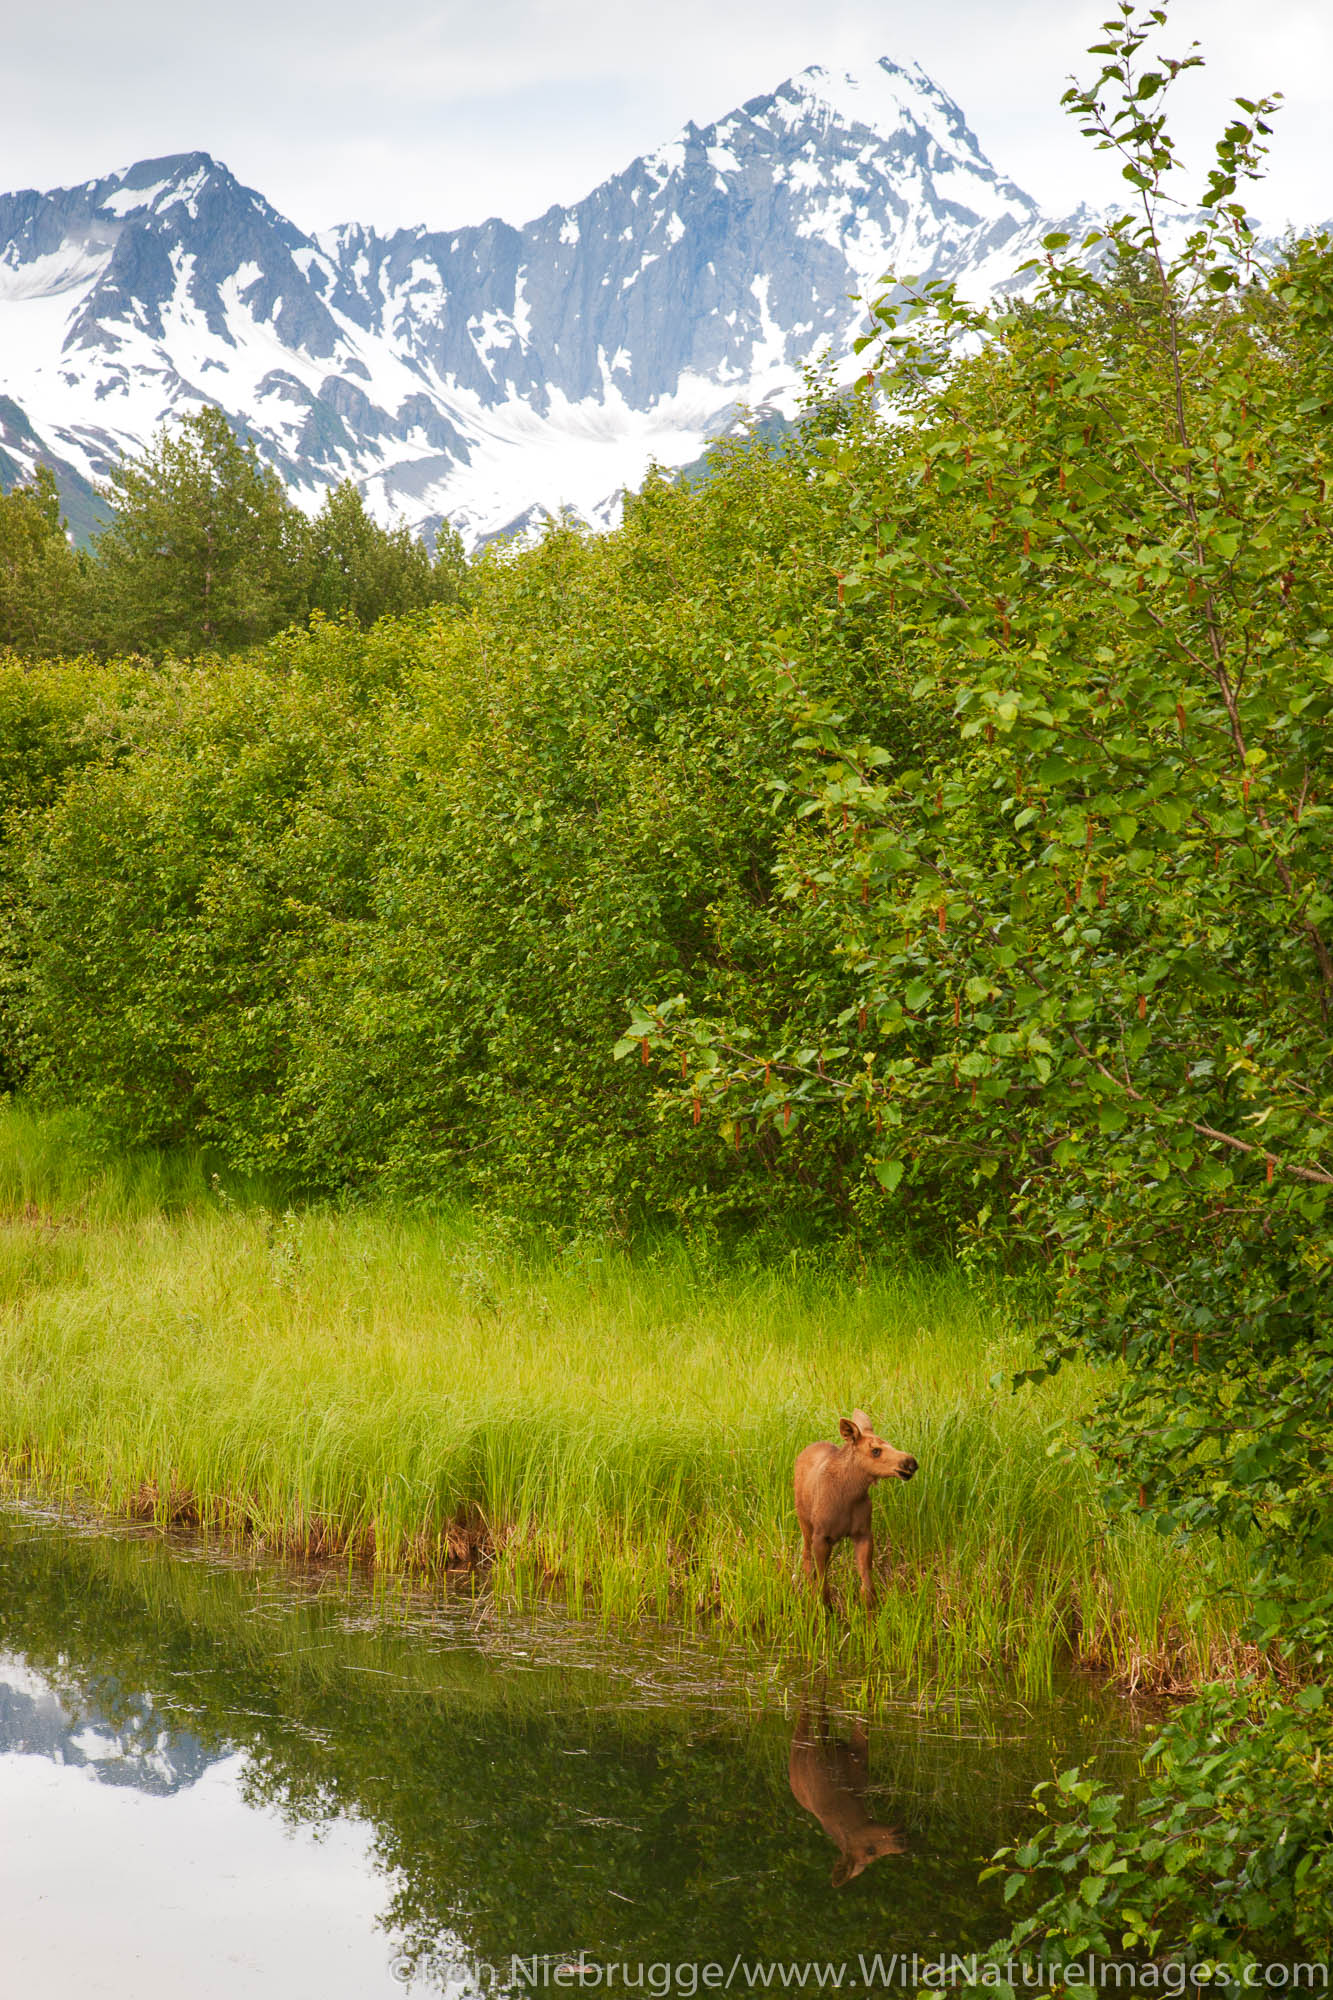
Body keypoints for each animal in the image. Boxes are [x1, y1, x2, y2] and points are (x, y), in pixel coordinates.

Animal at [788, 1408, 912, 1608]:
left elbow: (867, 1587)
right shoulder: (820, 1536)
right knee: (806, 1559)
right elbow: (822, 1583)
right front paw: (825, 1609)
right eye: (875, 1451)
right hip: (804, 1523)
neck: (850, 1495)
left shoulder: (863, 1533)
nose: (910, 1463)